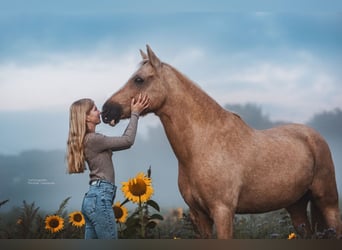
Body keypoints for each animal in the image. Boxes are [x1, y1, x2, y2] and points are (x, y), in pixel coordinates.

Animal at [101, 45, 340, 238]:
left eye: (139, 79)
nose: (106, 110)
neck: (203, 145)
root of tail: (313, 135)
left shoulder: (223, 211)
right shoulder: (199, 215)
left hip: (327, 201)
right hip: (296, 206)